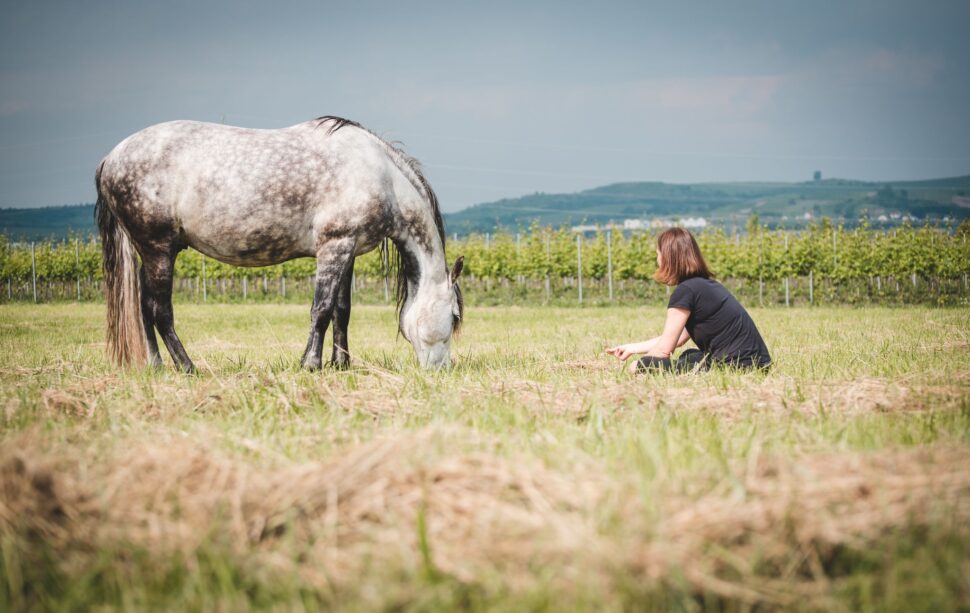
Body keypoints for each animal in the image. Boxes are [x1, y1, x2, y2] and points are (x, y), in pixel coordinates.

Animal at [95, 116, 464, 372]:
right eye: (455, 316)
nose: (442, 370)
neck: (381, 176)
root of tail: (110, 159)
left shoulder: (348, 251)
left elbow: (341, 311)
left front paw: (341, 364)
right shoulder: (334, 247)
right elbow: (321, 310)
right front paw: (311, 364)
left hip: (150, 253)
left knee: (144, 307)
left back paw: (156, 366)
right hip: (159, 249)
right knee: (160, 310)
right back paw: (187, 367)